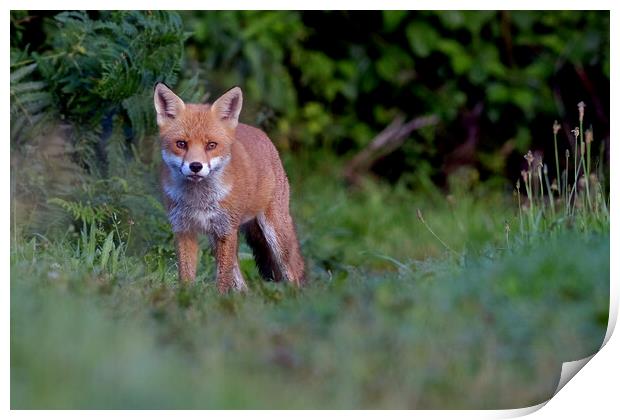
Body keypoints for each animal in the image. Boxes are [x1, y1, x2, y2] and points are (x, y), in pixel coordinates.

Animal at [155, 82, 306, 292]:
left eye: (211, 145)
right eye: (181, 144)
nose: (195, 166)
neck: (198, 200)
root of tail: (259, 132)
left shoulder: (227, 230)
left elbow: (222, 281)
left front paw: (217, 299)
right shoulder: (184, 230)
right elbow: (186, 277)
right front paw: (185, 298)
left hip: (275, 233)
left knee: (293, 272)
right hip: (216, 239)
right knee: (241, 283)